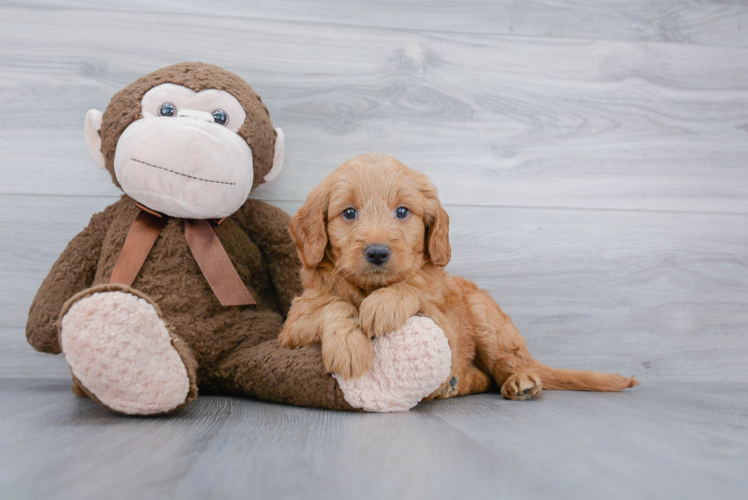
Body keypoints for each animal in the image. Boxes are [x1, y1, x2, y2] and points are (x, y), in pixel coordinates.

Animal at [280, 154, 636, 400]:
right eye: (349, 213)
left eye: (402, 211)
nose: (378, 253)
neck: (369, 288)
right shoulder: (292, 326)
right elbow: (334, 305)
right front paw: (349, 348)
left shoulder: (446, 327)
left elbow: (415, 286)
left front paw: (384, 305)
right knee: (484, 378)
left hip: (485, 317)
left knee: (509, 365)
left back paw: (520, 381)